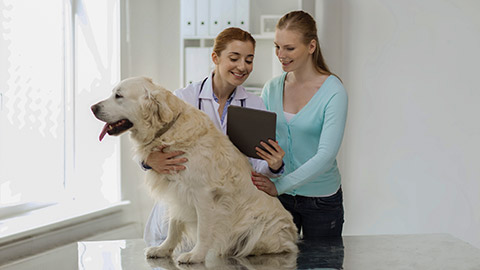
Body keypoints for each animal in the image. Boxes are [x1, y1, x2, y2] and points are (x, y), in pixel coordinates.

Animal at [91, 76, 296, 264]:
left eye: (119, 95)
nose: (93, 108)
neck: (168, 131)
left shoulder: (203, 194)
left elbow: (203, 230)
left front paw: (195, 255)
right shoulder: (177, 192)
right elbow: (173, 227)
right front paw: (163, 249)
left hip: (262, 226)